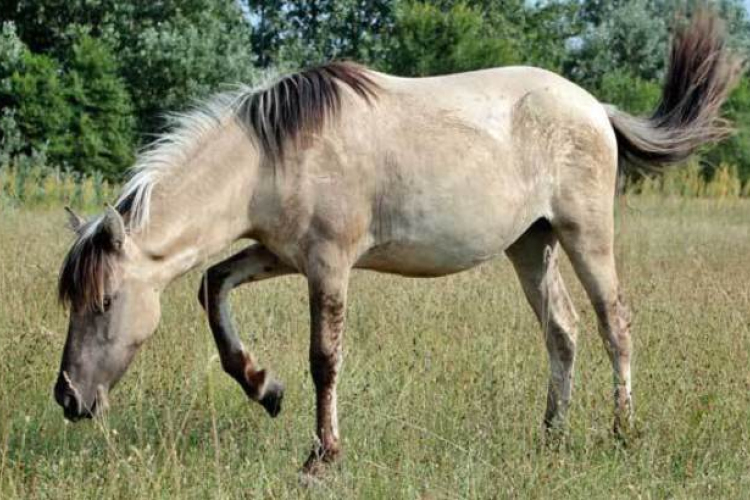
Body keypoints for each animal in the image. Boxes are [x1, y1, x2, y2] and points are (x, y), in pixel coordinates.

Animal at [55, 10, 744, 472]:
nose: (67, 397)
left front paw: (322, 454)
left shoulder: (328, 266)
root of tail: (596, 107)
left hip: (585, 234)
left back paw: (621, 432)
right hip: (532, 244)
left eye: (105, 302)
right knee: (563, 332)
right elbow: (212, 285)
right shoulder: (279, 255)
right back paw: (551, 435)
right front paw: (262, 386)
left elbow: (324, 359)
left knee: (613, 324)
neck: (271, 156)